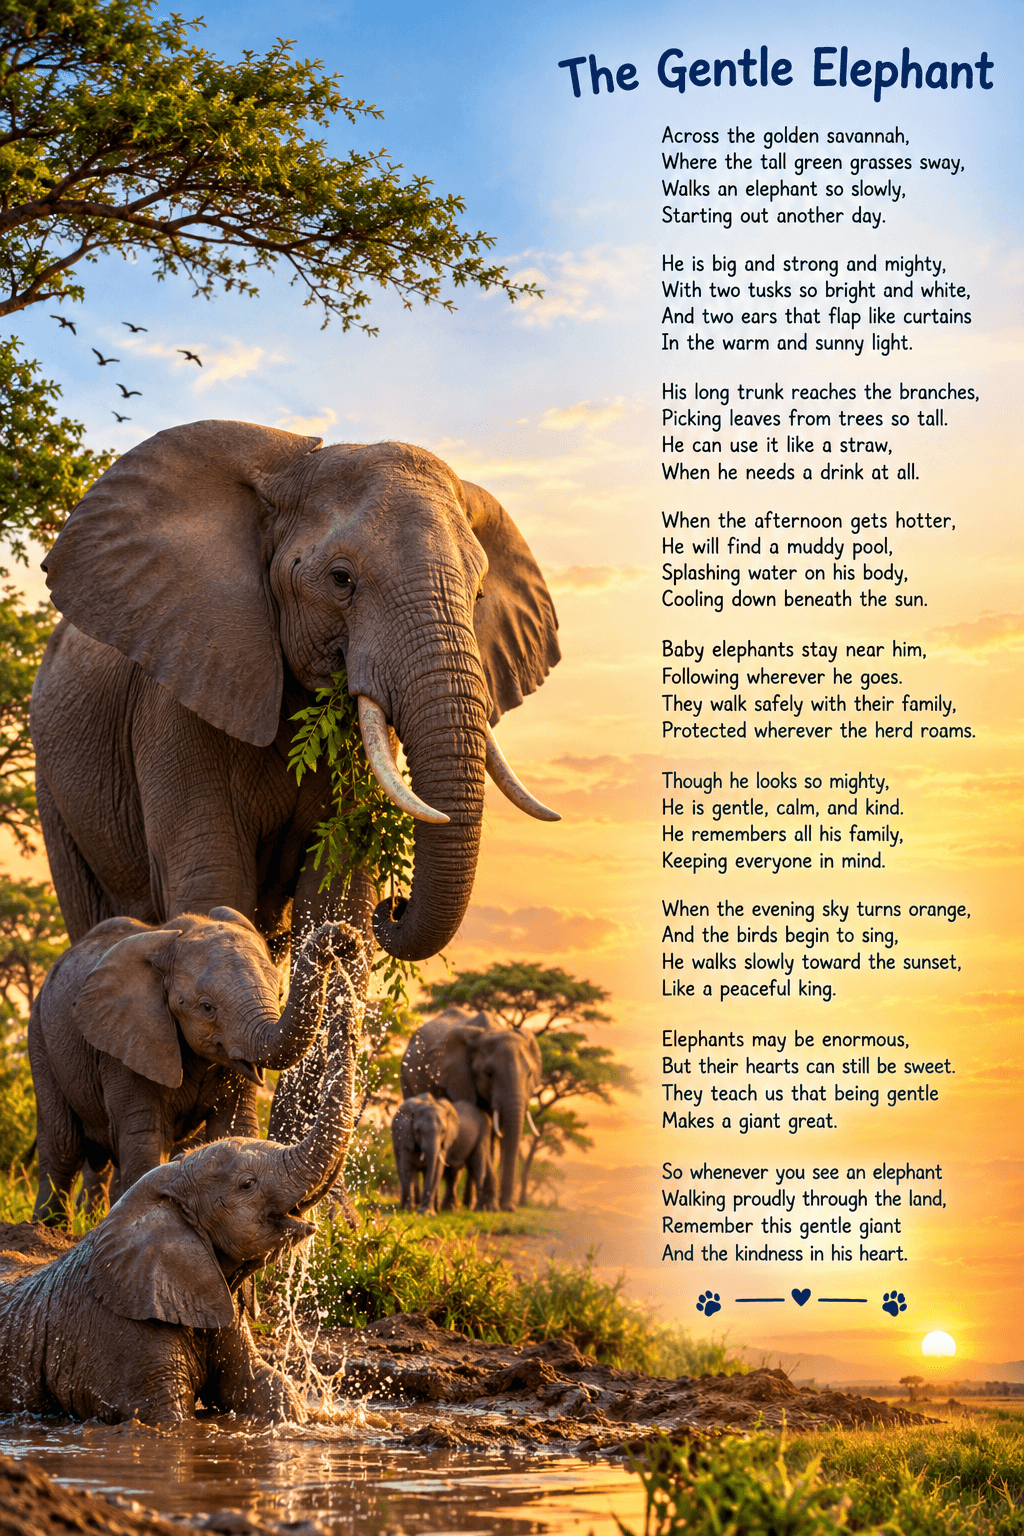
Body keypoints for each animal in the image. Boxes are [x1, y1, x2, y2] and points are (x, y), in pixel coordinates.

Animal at [29, 906, 356, 1222]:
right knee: (64, 1145)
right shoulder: (127, 1042)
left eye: (279, 994)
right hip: (41, 1038)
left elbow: (235, 1126)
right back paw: (46, 1228)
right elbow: (146, 1137)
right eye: (207, 1008)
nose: (343, 936)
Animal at [31, 423, 561, 1148]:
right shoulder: (179, 690)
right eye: (341, 580)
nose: (395, 909)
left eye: (478, 597)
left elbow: (335, 889)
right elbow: (211, 877)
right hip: (54, 783)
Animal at [401, 1007, 542, 1210]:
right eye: (489, 1074)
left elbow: (492, 1135)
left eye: (529, 1074)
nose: (508, 1208)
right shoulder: (455, 1078)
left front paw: (484, 1207)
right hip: (407, 1078)